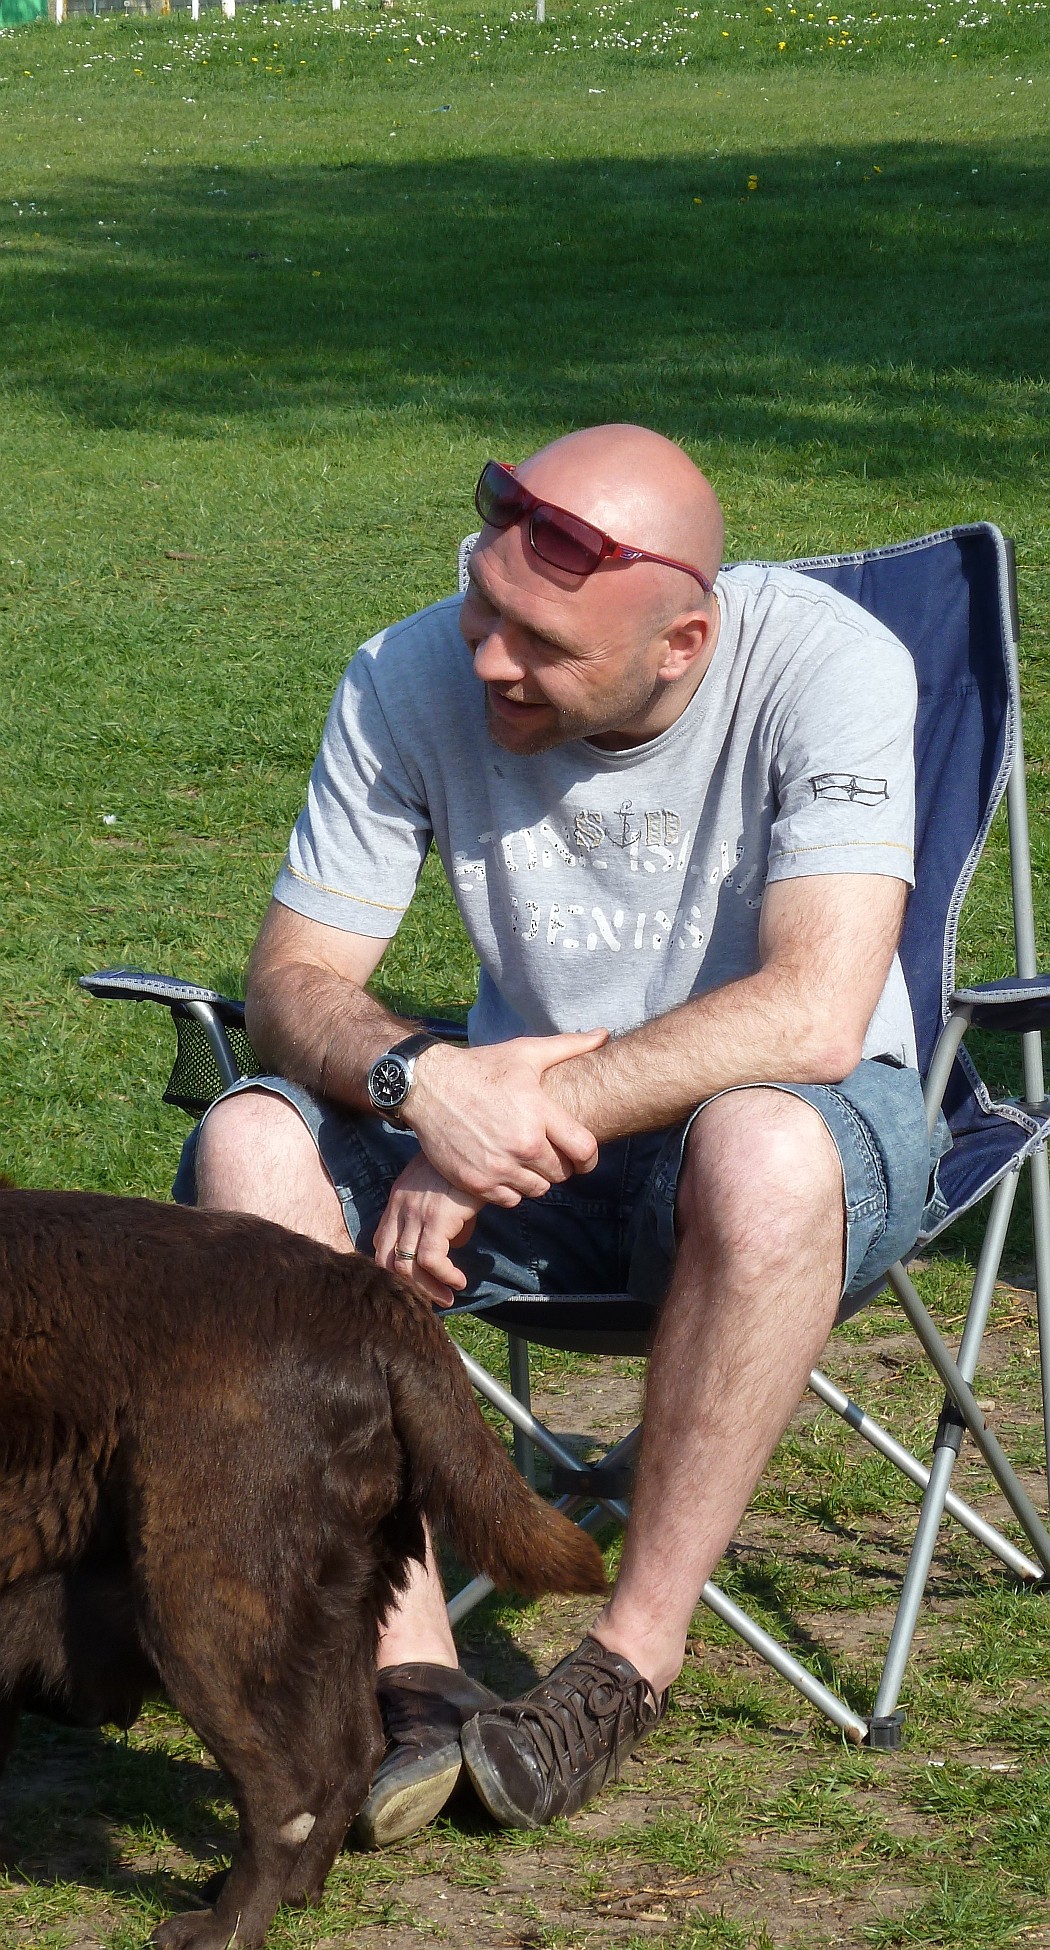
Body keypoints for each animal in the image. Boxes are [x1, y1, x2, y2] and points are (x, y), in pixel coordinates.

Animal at [0, 1186, 606, 1948]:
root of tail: (372, 1294)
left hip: (196, 1598)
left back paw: (222, 1928)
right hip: (343, 1595)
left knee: (281, 1793)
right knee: (352, 1754)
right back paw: (295, 1892)